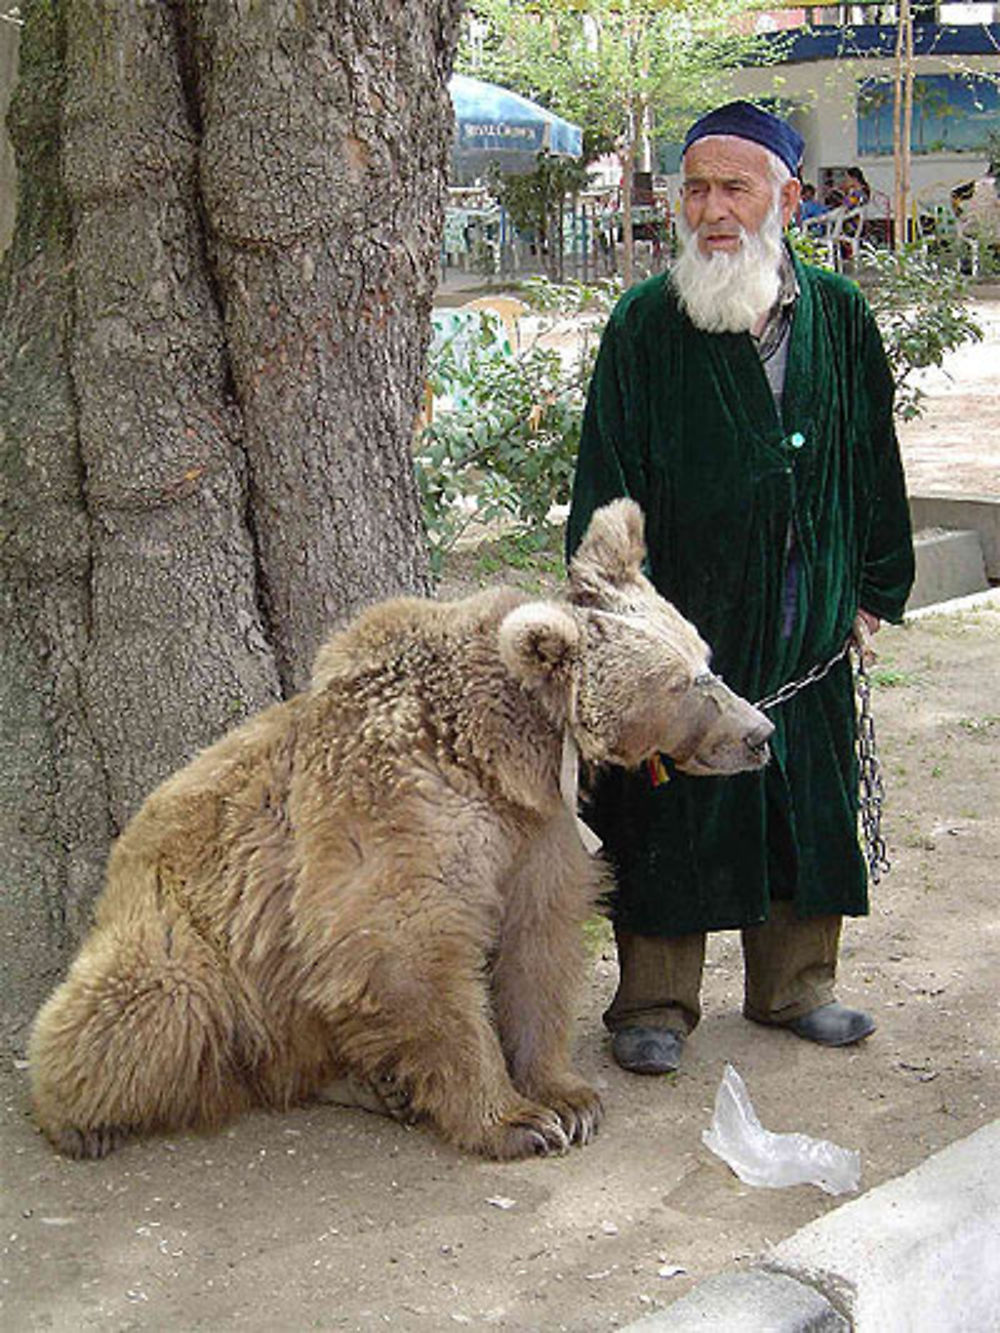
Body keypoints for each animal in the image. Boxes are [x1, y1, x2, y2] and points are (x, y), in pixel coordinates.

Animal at [27, 498, 773, 1157]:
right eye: (684, 683)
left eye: (706, 656)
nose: (761, 732)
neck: (499, 748)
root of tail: (121, 860)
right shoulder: (397, 811)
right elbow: (409, 948)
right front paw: (515, 1120)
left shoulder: (537, 829)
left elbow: (539, 940)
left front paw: (568, 1097)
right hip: (191, 932)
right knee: (148, 1005)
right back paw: (77, 1118)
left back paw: (370, 1085)